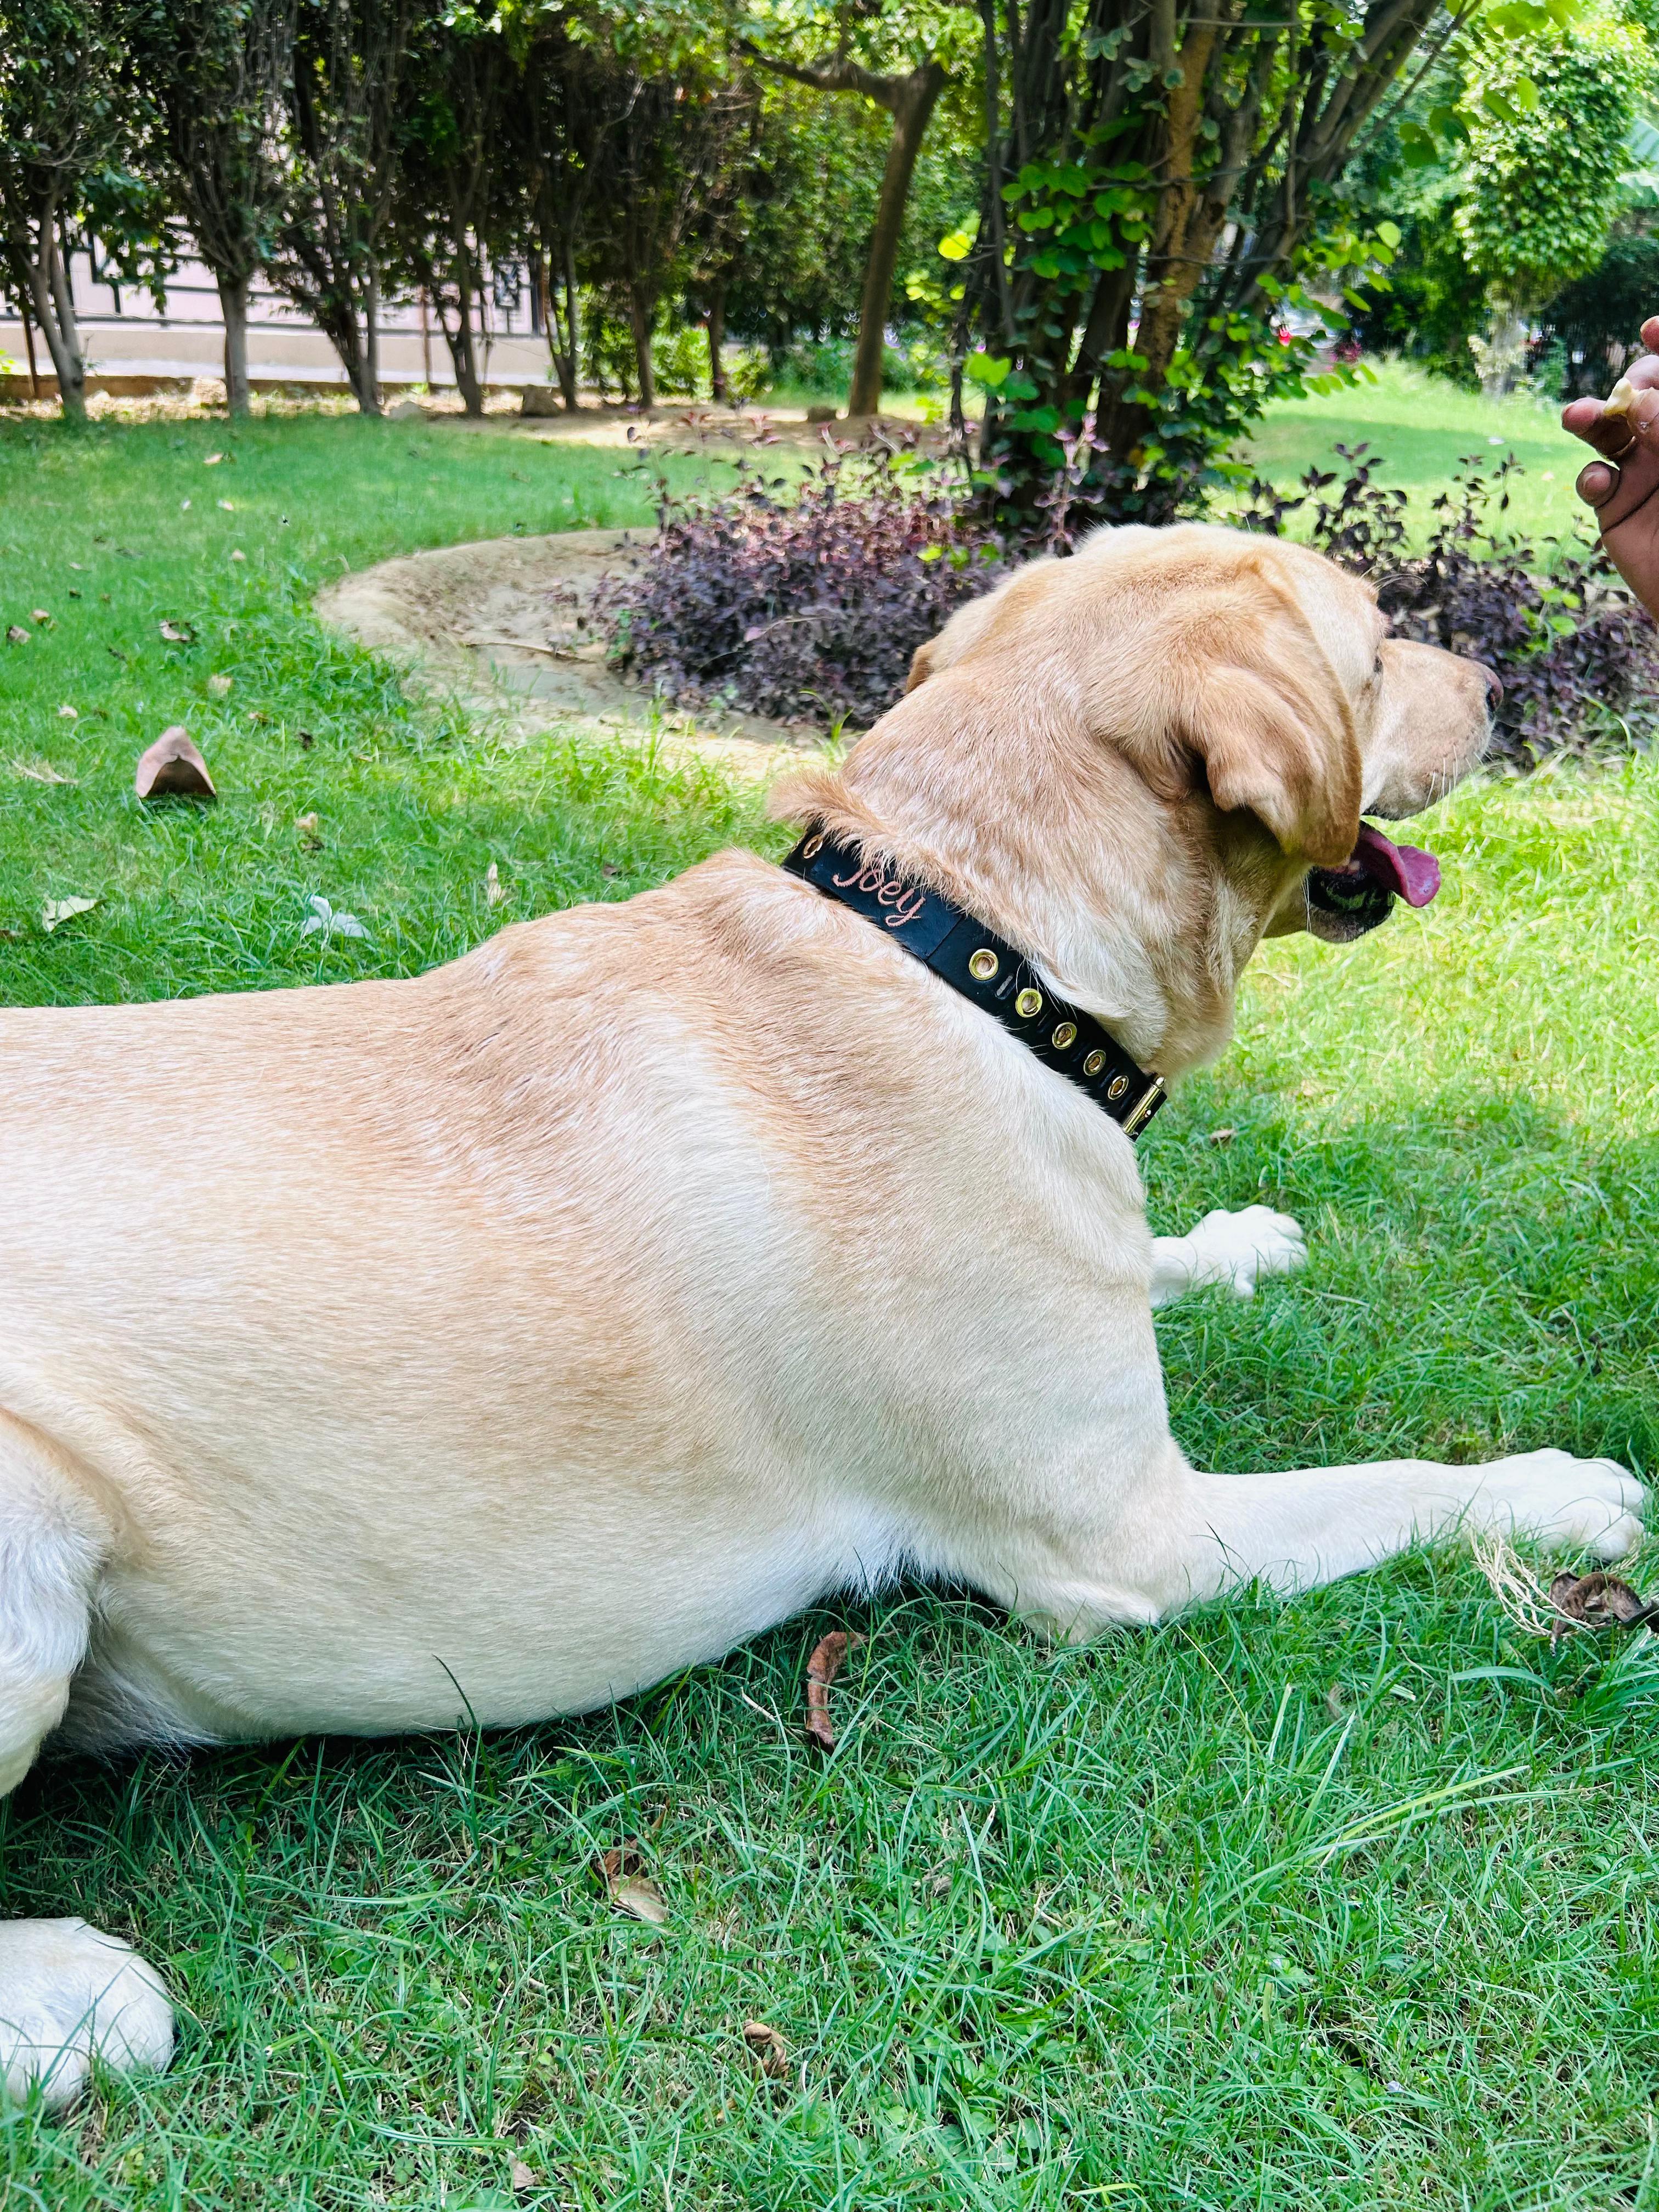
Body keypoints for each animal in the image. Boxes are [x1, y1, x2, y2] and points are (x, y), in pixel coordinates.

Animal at [0, 522, 1654, 2106]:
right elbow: (1401, 1486)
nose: (1498, 689)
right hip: (33, 1530)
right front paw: (1563, 1490)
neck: (981, 950)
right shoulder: (1131, 1541)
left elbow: (1154, 1250)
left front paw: (1235, 1239)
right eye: (1377, 650)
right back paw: (68, 2003)